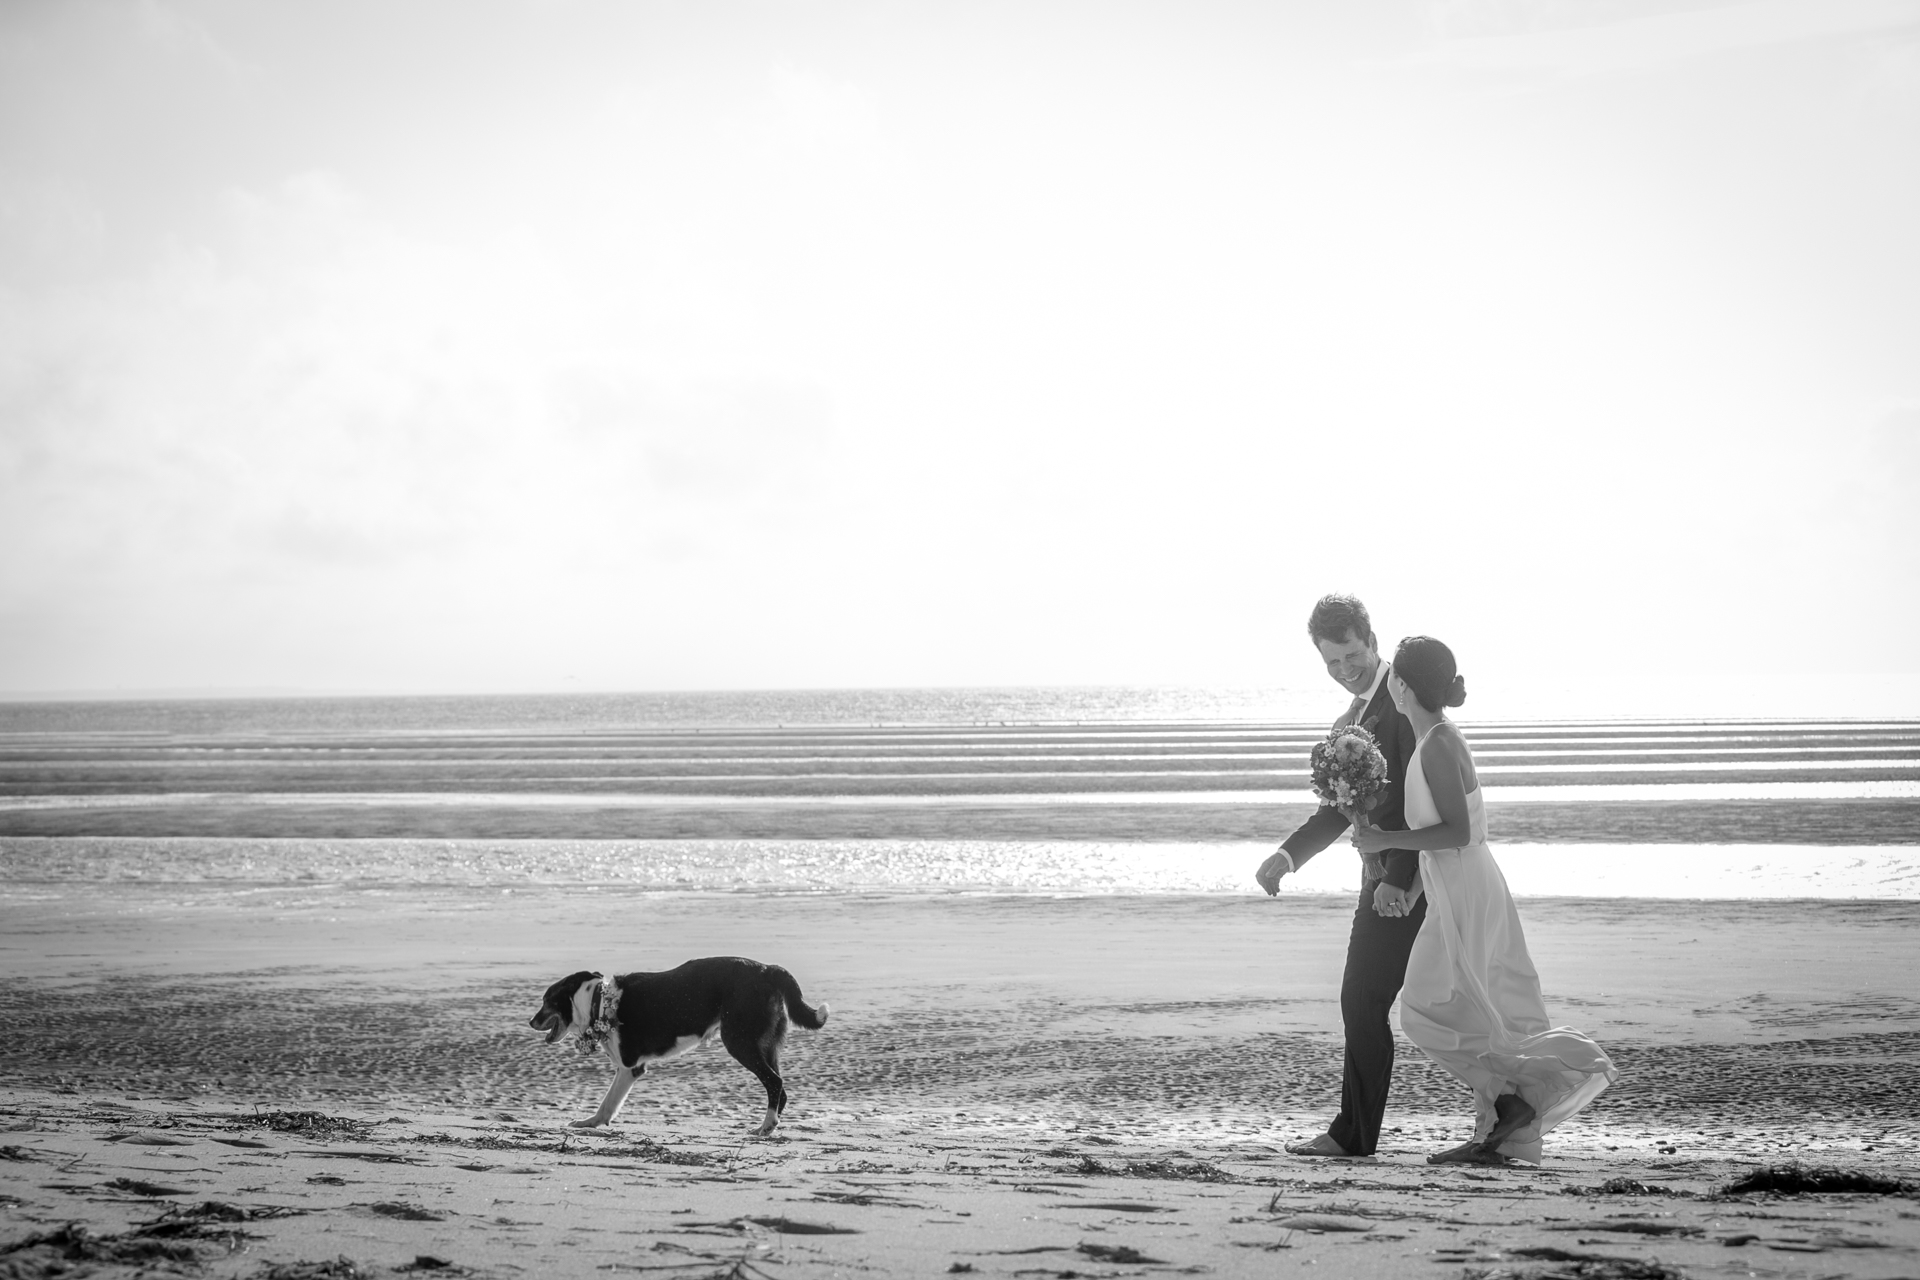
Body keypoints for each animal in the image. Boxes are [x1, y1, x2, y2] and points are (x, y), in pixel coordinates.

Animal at [529, 955, 829, 1136]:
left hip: (739, 1042)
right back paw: (771, 1126)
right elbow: (609, 1105)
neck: (599, 1003)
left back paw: (766, 1126)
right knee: (780, 1087)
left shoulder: (629, 1067)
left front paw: (588, 1123)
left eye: (546, 1000)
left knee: (774, 1083)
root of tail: (768, 969)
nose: (531, 1021)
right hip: (765, 1044)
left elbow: (607, 1103)